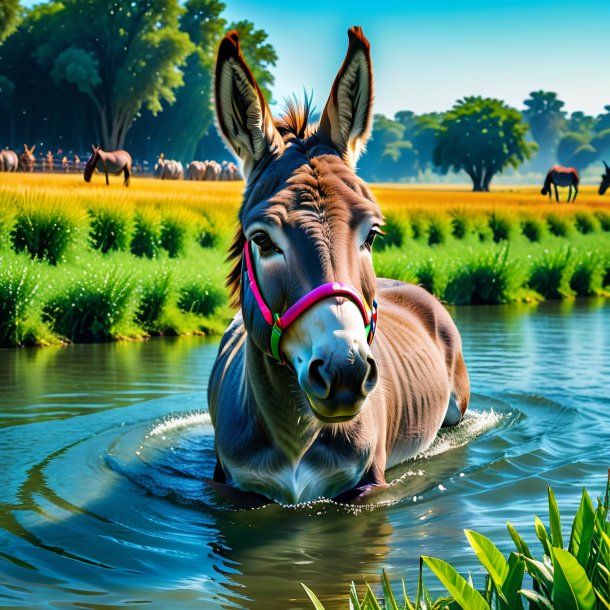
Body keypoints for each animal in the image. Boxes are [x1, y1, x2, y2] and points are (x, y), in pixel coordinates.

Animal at [207, 27, 468, 504]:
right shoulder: (231, 488)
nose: (344, 371)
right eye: (262, 240)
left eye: (372, 234)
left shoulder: (367, 487)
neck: (296, 434)